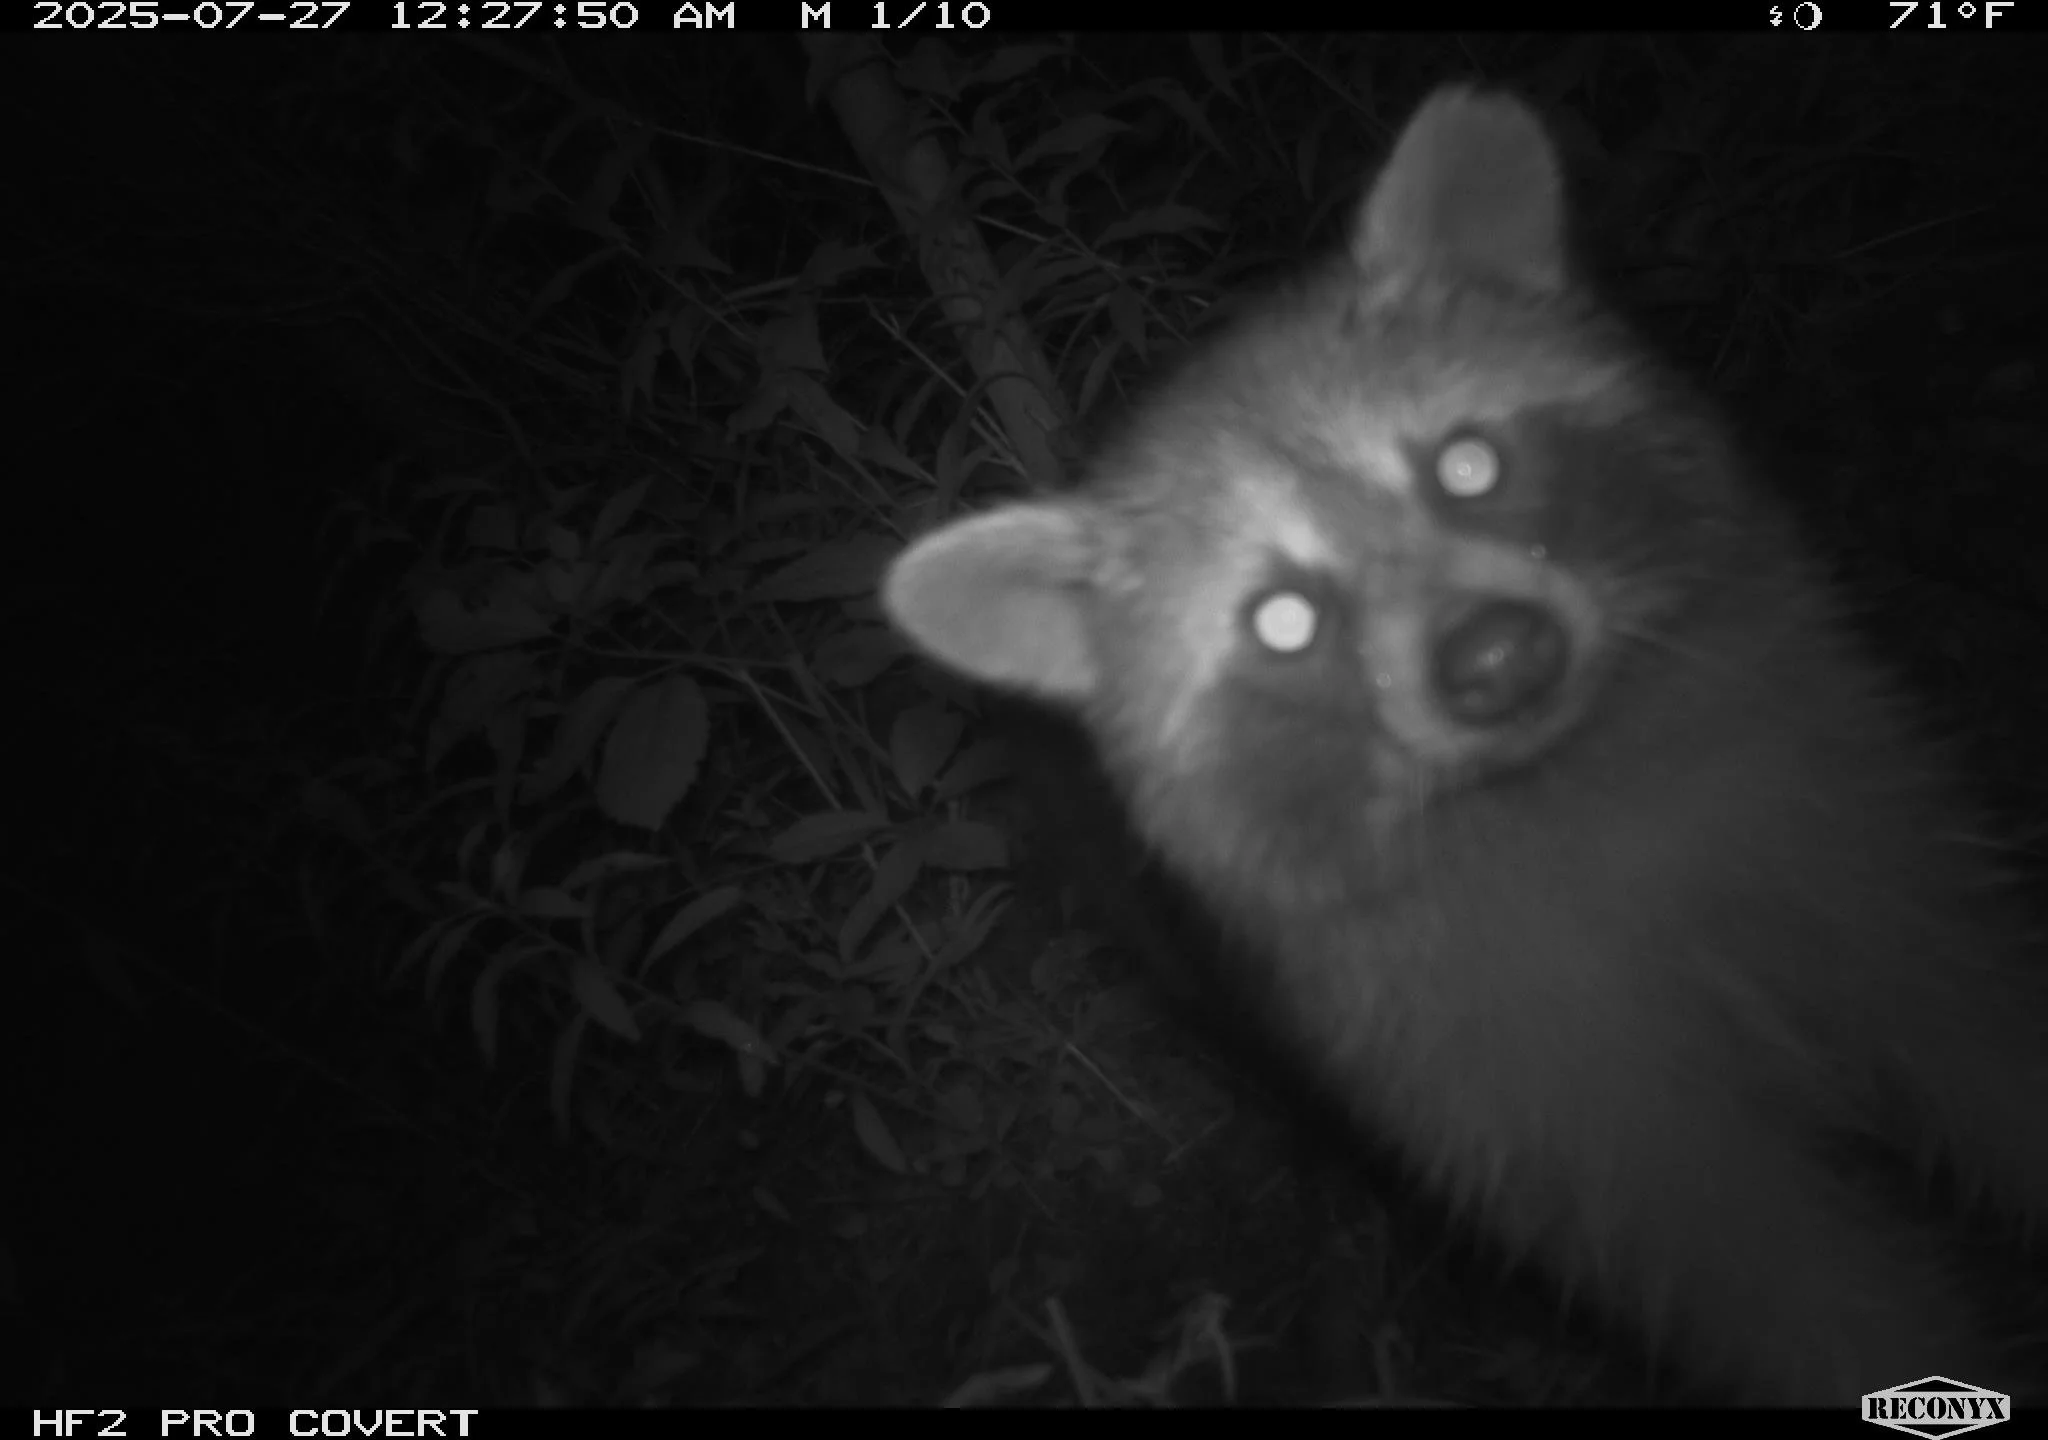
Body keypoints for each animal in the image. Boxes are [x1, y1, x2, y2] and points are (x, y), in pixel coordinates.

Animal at [881, 86, 2048, 1405]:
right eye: (1281, 620)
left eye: (1466, 463)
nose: (1496, 659)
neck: (1553, 777)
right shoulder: (1515, 1082)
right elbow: (1775, 1282)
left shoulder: (1851, 837)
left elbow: (1977, 1032)